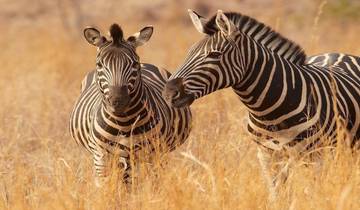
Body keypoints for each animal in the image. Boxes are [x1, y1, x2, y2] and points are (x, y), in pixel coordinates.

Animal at [71, 23, 194, 185]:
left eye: (134, 64)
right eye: (100, 64)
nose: (118, 101)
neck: (123, 123)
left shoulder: (154, 153)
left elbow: (150, 185)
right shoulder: (101, 156)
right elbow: (107, 186)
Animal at [163, 9, 360, 199]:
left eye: (214, 54)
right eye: (189, 52)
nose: (168, 93)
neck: (270, 113)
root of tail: (336, 53)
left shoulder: (318, 155)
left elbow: (313, 193)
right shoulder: (267, 156)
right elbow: (276, 195)